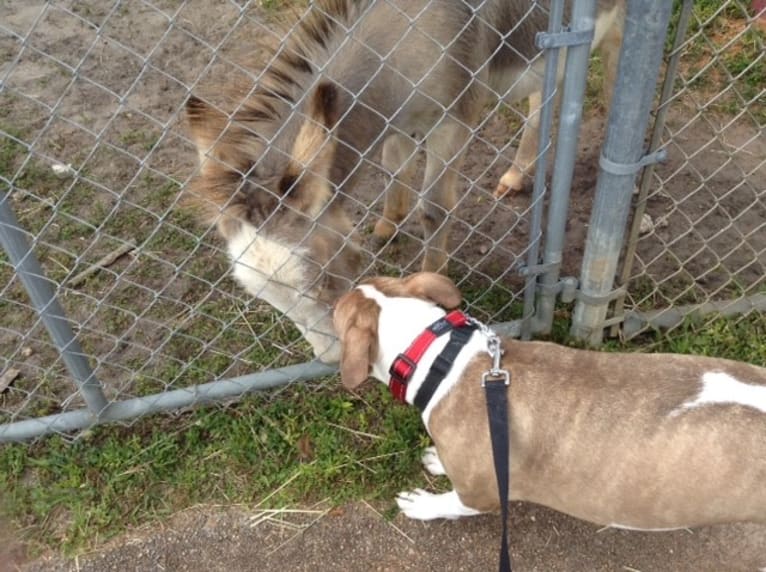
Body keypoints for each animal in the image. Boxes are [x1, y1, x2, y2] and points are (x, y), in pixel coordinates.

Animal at [334, 274, 766, 528]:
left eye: (337, 312)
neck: (444, 355)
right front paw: (437, 461)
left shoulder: (482, 492)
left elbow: (454, 502)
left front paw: (423, 505)